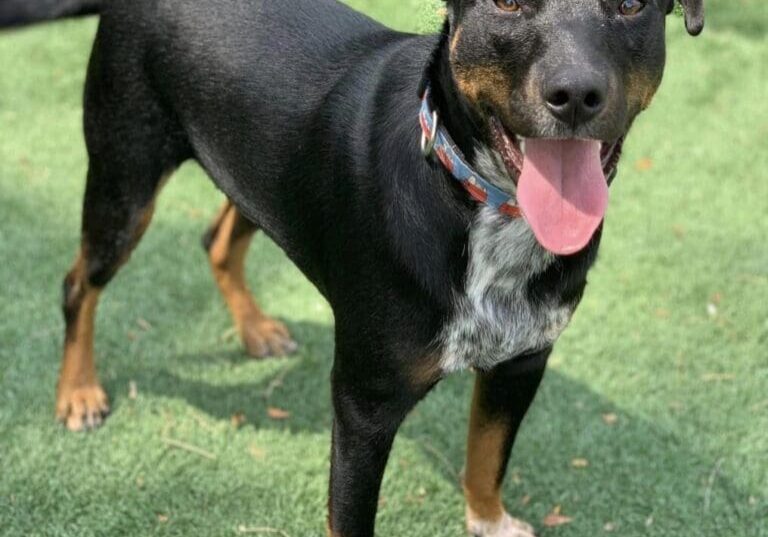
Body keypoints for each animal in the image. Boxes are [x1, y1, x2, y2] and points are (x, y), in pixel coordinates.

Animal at [3, 0, 704, 532]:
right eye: (506, 3)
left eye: (631, 5)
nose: (576, 94)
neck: (474, 197)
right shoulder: (364, 406)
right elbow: (354, 514)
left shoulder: (522, 362)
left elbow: (487, 457)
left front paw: (488, 521)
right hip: (125, 178)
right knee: (78, 283)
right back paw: (78, 393)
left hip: (260, 175)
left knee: (217, 240)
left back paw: (254, 330)